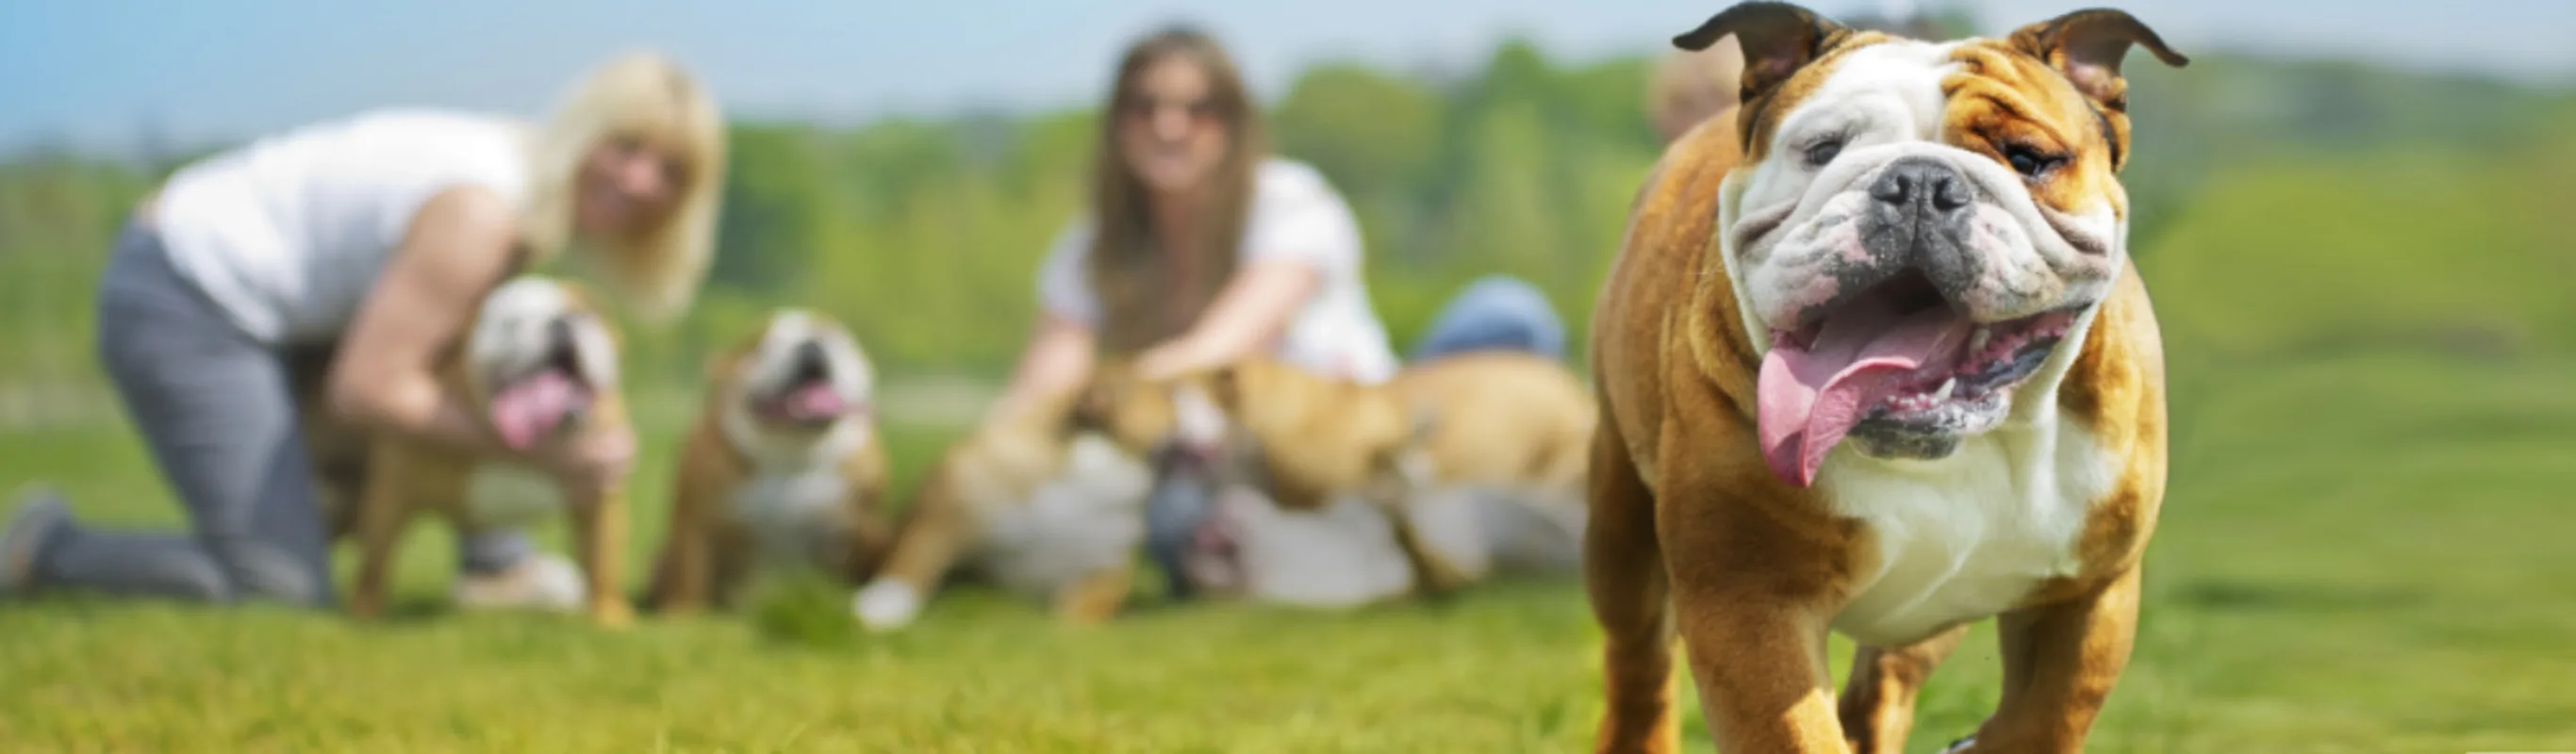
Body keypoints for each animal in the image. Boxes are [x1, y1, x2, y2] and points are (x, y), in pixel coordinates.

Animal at [329, 273, 636, 622]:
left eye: (586, 314)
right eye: (513, 322)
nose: (562, 322)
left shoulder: (600, 498)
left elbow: (602, 566)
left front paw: (609, 618)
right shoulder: (390, 497)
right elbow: (374, 564)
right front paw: (364, 614)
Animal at [644, 310, 896, 610]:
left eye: (833, 335)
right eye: (761, 346)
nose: (811, 344)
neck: (790, 454)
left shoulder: (855, 526)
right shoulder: (694, 522)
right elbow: (689, 577)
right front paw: (682, 615)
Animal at [1586, 3, 2194, 746]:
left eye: (2027, 159)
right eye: (1823, 150)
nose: (1920, 182)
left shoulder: (2090, 595)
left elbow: (2042, 720)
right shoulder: (1747, 597)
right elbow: (1796, 733)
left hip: (1929, 615)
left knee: (1882, 688)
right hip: (1620, 531)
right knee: (1639, 659)